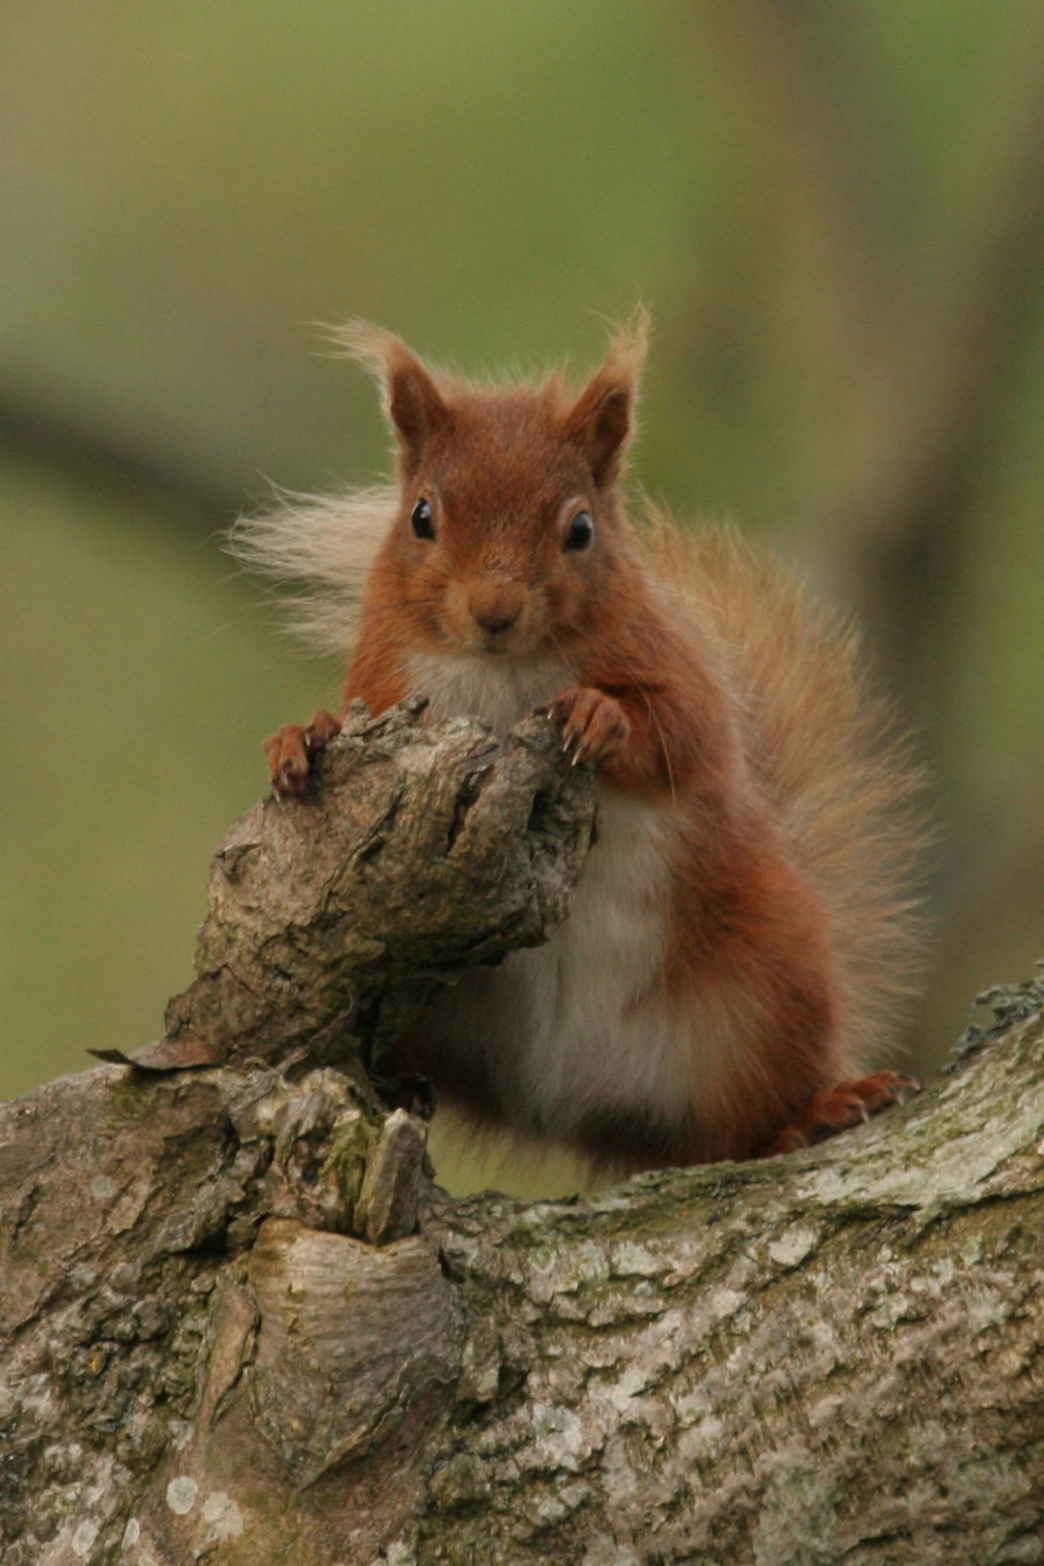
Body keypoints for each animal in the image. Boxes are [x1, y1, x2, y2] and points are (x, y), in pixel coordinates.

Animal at [242, 314, 920, 1165]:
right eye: (422, 516)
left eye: (581, 529)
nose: (494, 610)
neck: (504, 672)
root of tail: (571, 1106)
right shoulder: (387, 682)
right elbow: (344, 718)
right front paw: (298, 740)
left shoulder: (682, 671)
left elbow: (685, 736)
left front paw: (600, 717)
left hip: (768, 984)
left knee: (743, 1127)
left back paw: (819, 1111)